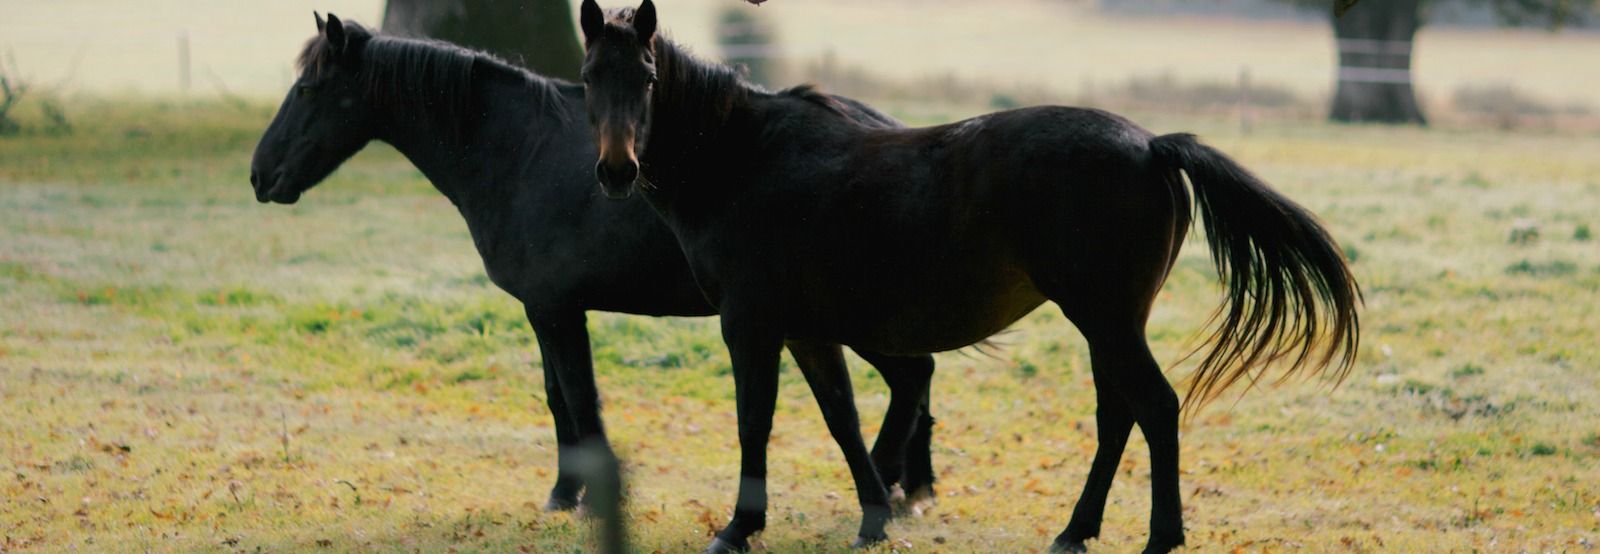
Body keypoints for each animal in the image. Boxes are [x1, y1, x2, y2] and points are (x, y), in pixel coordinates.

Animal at [247, 13, 943, 538]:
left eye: (307, 91)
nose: (260, 175)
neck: (518, 151)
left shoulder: (555, 310)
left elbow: (580, 402)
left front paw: (583, 498)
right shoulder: (545, 310)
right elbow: (559, 399)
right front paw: (566, 494)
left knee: (910, 376)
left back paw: (888, 487)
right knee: (916, 375)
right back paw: (910, 489)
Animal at [575, 1, 1362, 552]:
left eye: (647, 79)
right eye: (587, 79)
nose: (614, 171)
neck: (745, 159)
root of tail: (1153, 147)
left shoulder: (752, 325)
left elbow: (755, 422)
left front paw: (740, 528)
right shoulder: (807, 331)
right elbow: (842, 419)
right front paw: (874, 516)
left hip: (1105, 319)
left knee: (1156, 408)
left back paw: (1158, 538)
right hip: (1108, 325)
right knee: (1118, 417)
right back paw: (1075, 531)